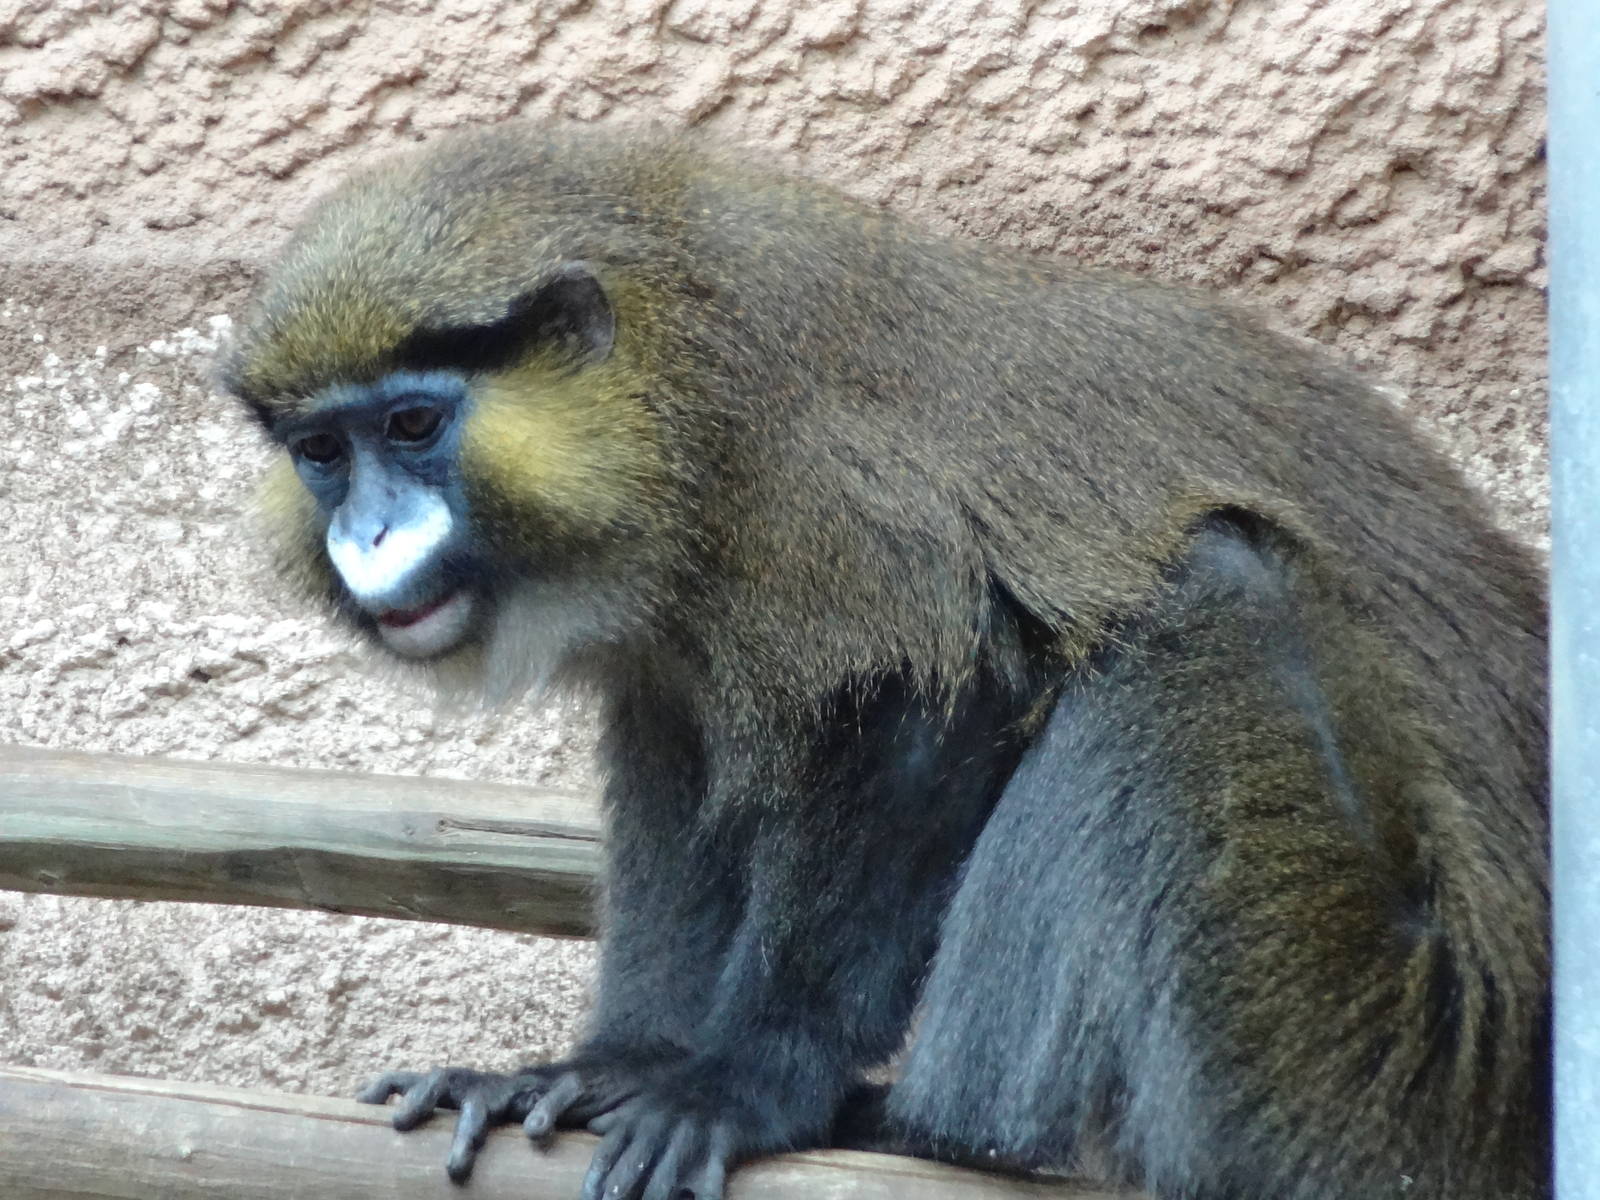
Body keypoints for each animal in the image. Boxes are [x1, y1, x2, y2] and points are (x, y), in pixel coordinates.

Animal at [220, 125, 1550, 1200]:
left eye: (413, 424)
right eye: (324, 451)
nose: (367, 536)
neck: (682, 392)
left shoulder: (838, 523)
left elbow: (938, 704)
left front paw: (743, 1082)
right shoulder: (672, 656)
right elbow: (682, 792)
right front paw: (607, 1064)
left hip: (1368, 1067)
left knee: (1217, 597)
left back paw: (943, 1133)